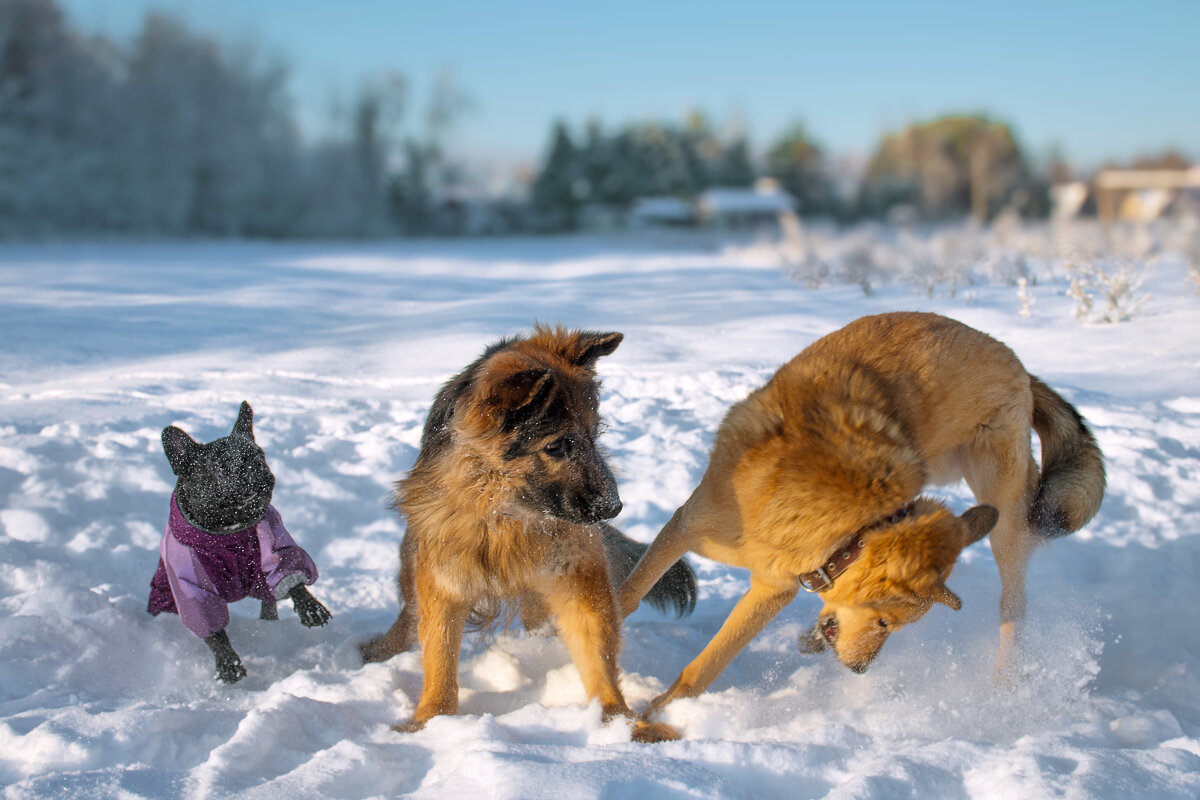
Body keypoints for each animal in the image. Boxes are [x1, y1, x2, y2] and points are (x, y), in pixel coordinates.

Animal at [148, 402, 333, 686]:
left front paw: (310, 607)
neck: (229, 532)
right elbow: (213, 629)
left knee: (270, 600)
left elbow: (291, 574)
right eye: (222, 469)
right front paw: (228, 663)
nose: (258, 471)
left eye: (260, 455)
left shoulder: (274, 542)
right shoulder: (191, 584)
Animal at [619, 309, 1104, 714]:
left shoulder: (775, 590)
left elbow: (705, 667)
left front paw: (654, 720)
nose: (860, 671)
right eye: (885, 622)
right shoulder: (688, 525)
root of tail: (1015, 361)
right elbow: (629, 595)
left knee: (1014, 604)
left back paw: (1006, 680)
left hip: (1003, 513)